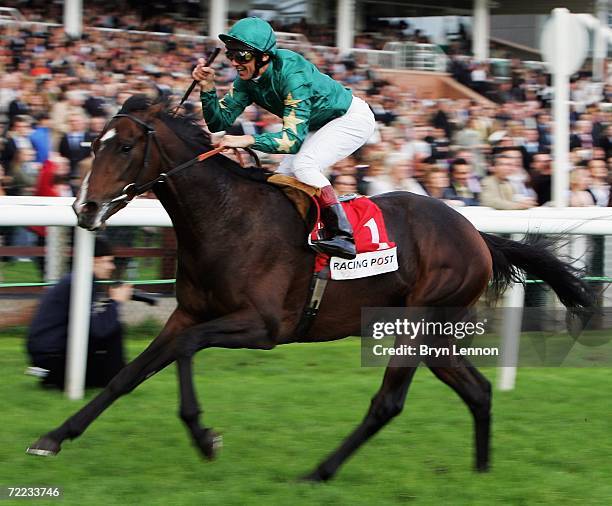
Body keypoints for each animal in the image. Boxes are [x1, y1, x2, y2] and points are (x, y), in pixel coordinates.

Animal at [26, 96, 596, 482]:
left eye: (124, 147)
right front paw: (52, 438)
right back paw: (480, 470)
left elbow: (186, 351)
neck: (225, 219)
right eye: (91, 145)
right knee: (476, 390)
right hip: (435, 332)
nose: (83, 209)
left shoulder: (263, 327)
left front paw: (205, 437)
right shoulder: (187, 313)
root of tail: (477, 233)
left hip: (416, 325)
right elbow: (127, 376)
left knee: (387, 403)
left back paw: (320, 471)